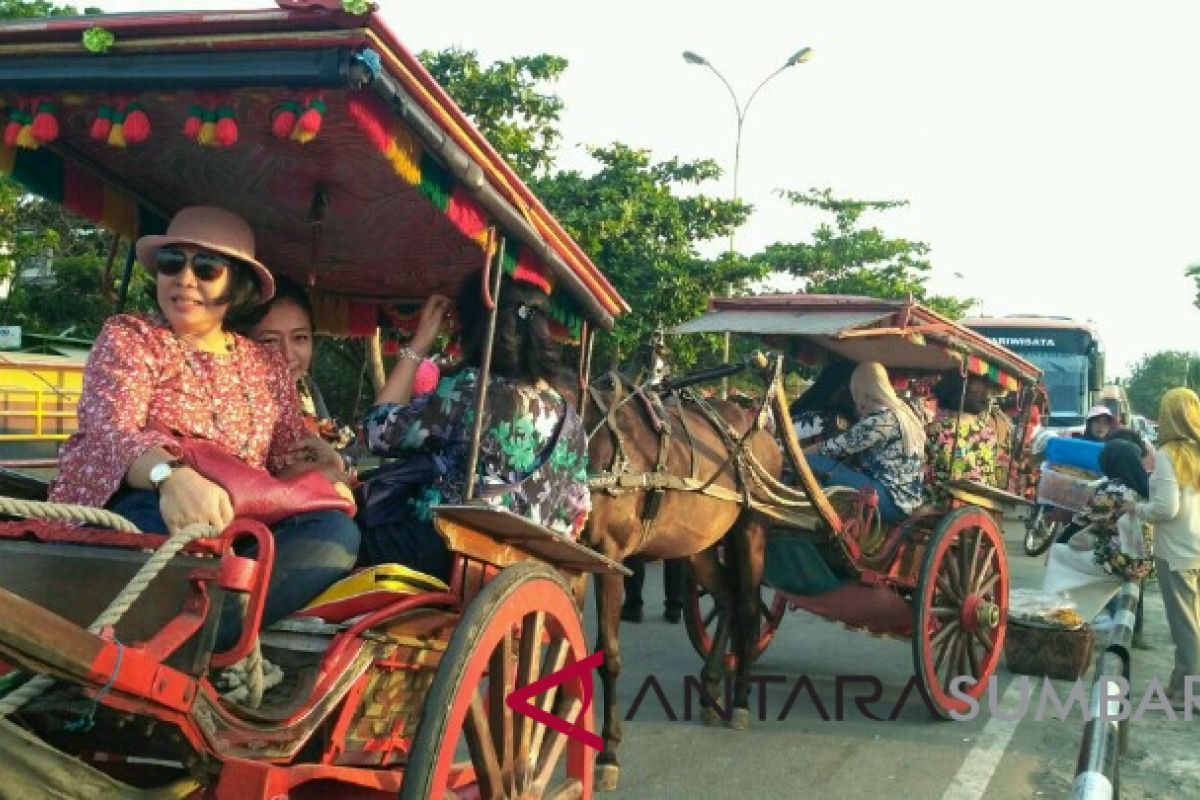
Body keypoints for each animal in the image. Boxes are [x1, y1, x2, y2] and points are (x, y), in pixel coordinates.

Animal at [578, 371, 782, 791]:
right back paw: (711, 685)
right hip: (697, 545)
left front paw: (608, 752)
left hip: (752, 529)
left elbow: (608, 655)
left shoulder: (609, 557)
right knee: (725, 598)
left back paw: (740, 701)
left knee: (748, 605)